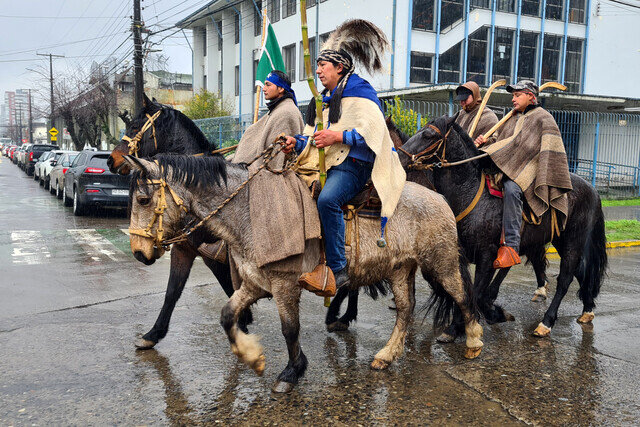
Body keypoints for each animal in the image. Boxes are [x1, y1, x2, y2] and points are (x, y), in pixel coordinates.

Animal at [105, 93, 250, 348]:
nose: (111, 160)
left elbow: (229, 288)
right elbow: (173, 290)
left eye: (134, 126)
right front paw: (153, 334)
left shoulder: (212, 255)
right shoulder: (186, 249)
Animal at [124, 154, 484, 394]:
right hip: (400, 268)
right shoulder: (254, 283)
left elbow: (289, 329)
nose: (139, 253)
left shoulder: (284, 284)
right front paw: (252, 357)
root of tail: (440, 198)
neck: (249, 212)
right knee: (406, 309)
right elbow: (227, 314)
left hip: (440, 262)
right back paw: (386, 355)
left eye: (143, 198)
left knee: (463, 297)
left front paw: (291, 372)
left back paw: (473, 342)